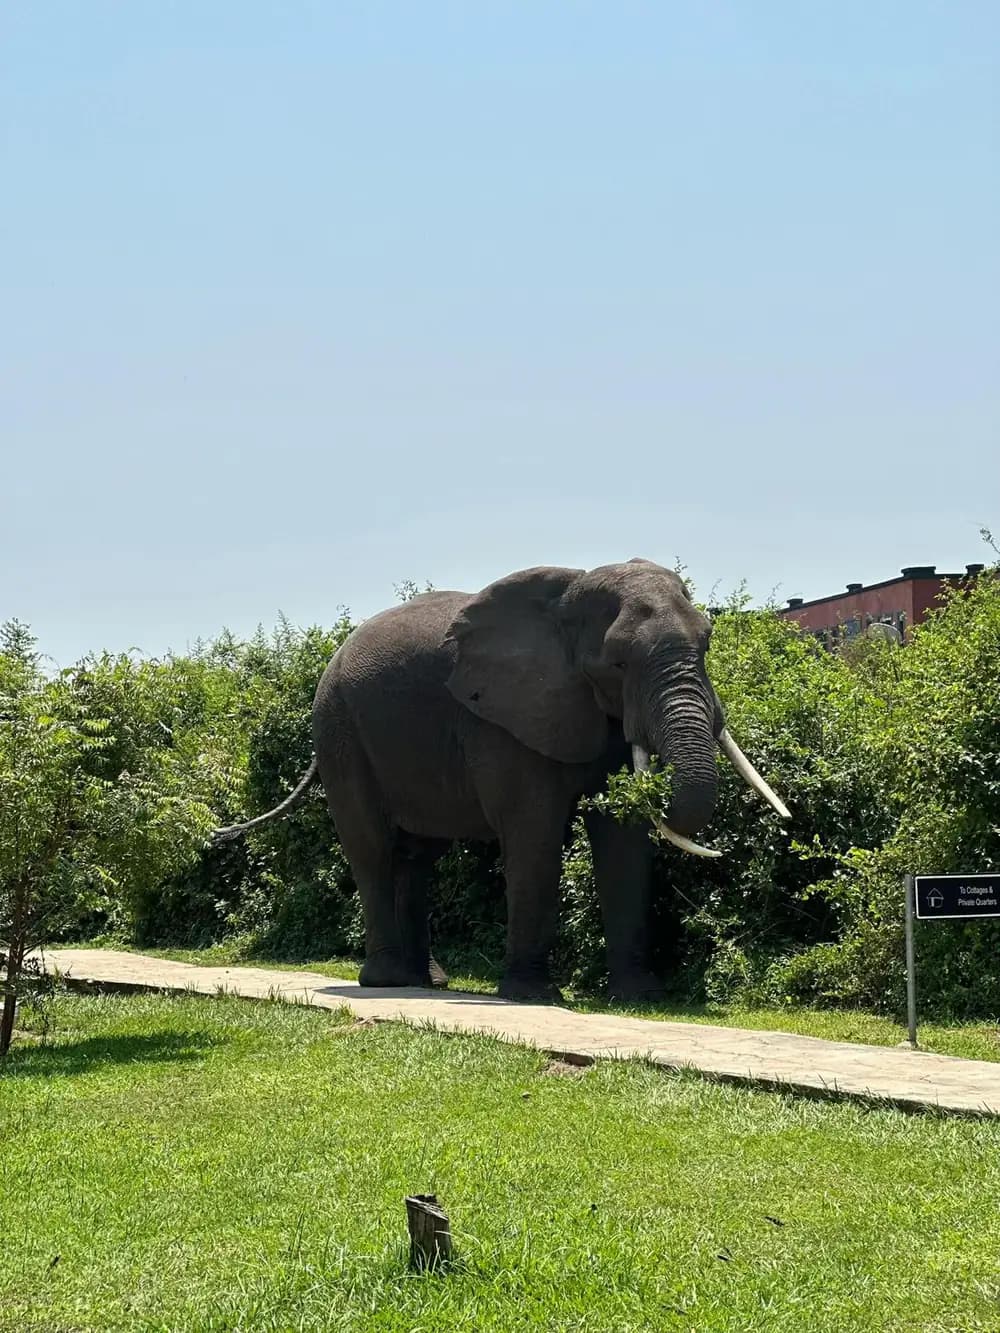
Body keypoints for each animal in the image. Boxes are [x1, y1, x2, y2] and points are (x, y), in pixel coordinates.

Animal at [214, 559, 789, 1002]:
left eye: (707, 644)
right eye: (618, 662)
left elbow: (622, 837)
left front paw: (641, 998)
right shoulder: (502, 721)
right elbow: (536, 833)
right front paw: (534, 996)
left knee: (417, 857)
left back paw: (427, 982)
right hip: (339, 729)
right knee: (371, 846)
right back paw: (386, 981)